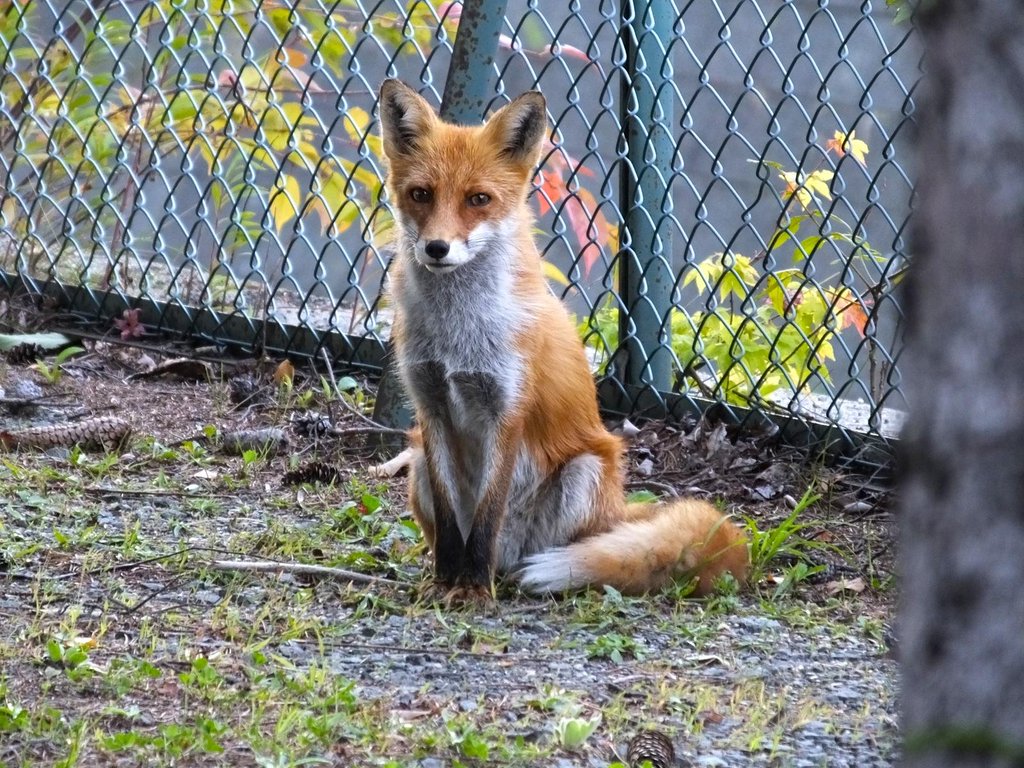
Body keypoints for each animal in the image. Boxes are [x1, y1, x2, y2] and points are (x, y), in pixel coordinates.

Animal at [377, 79, 749, 603]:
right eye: (420, 194)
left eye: (478, 199)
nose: (436, 248)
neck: (457, 335)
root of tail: (617, 510)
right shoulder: (429, 406)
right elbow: (453, 526)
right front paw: (450, 582)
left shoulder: (506, 408)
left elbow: (487, 517)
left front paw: (474, 589)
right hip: (417, 466)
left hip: (584, 472)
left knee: (566, 548)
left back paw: (523, 574)